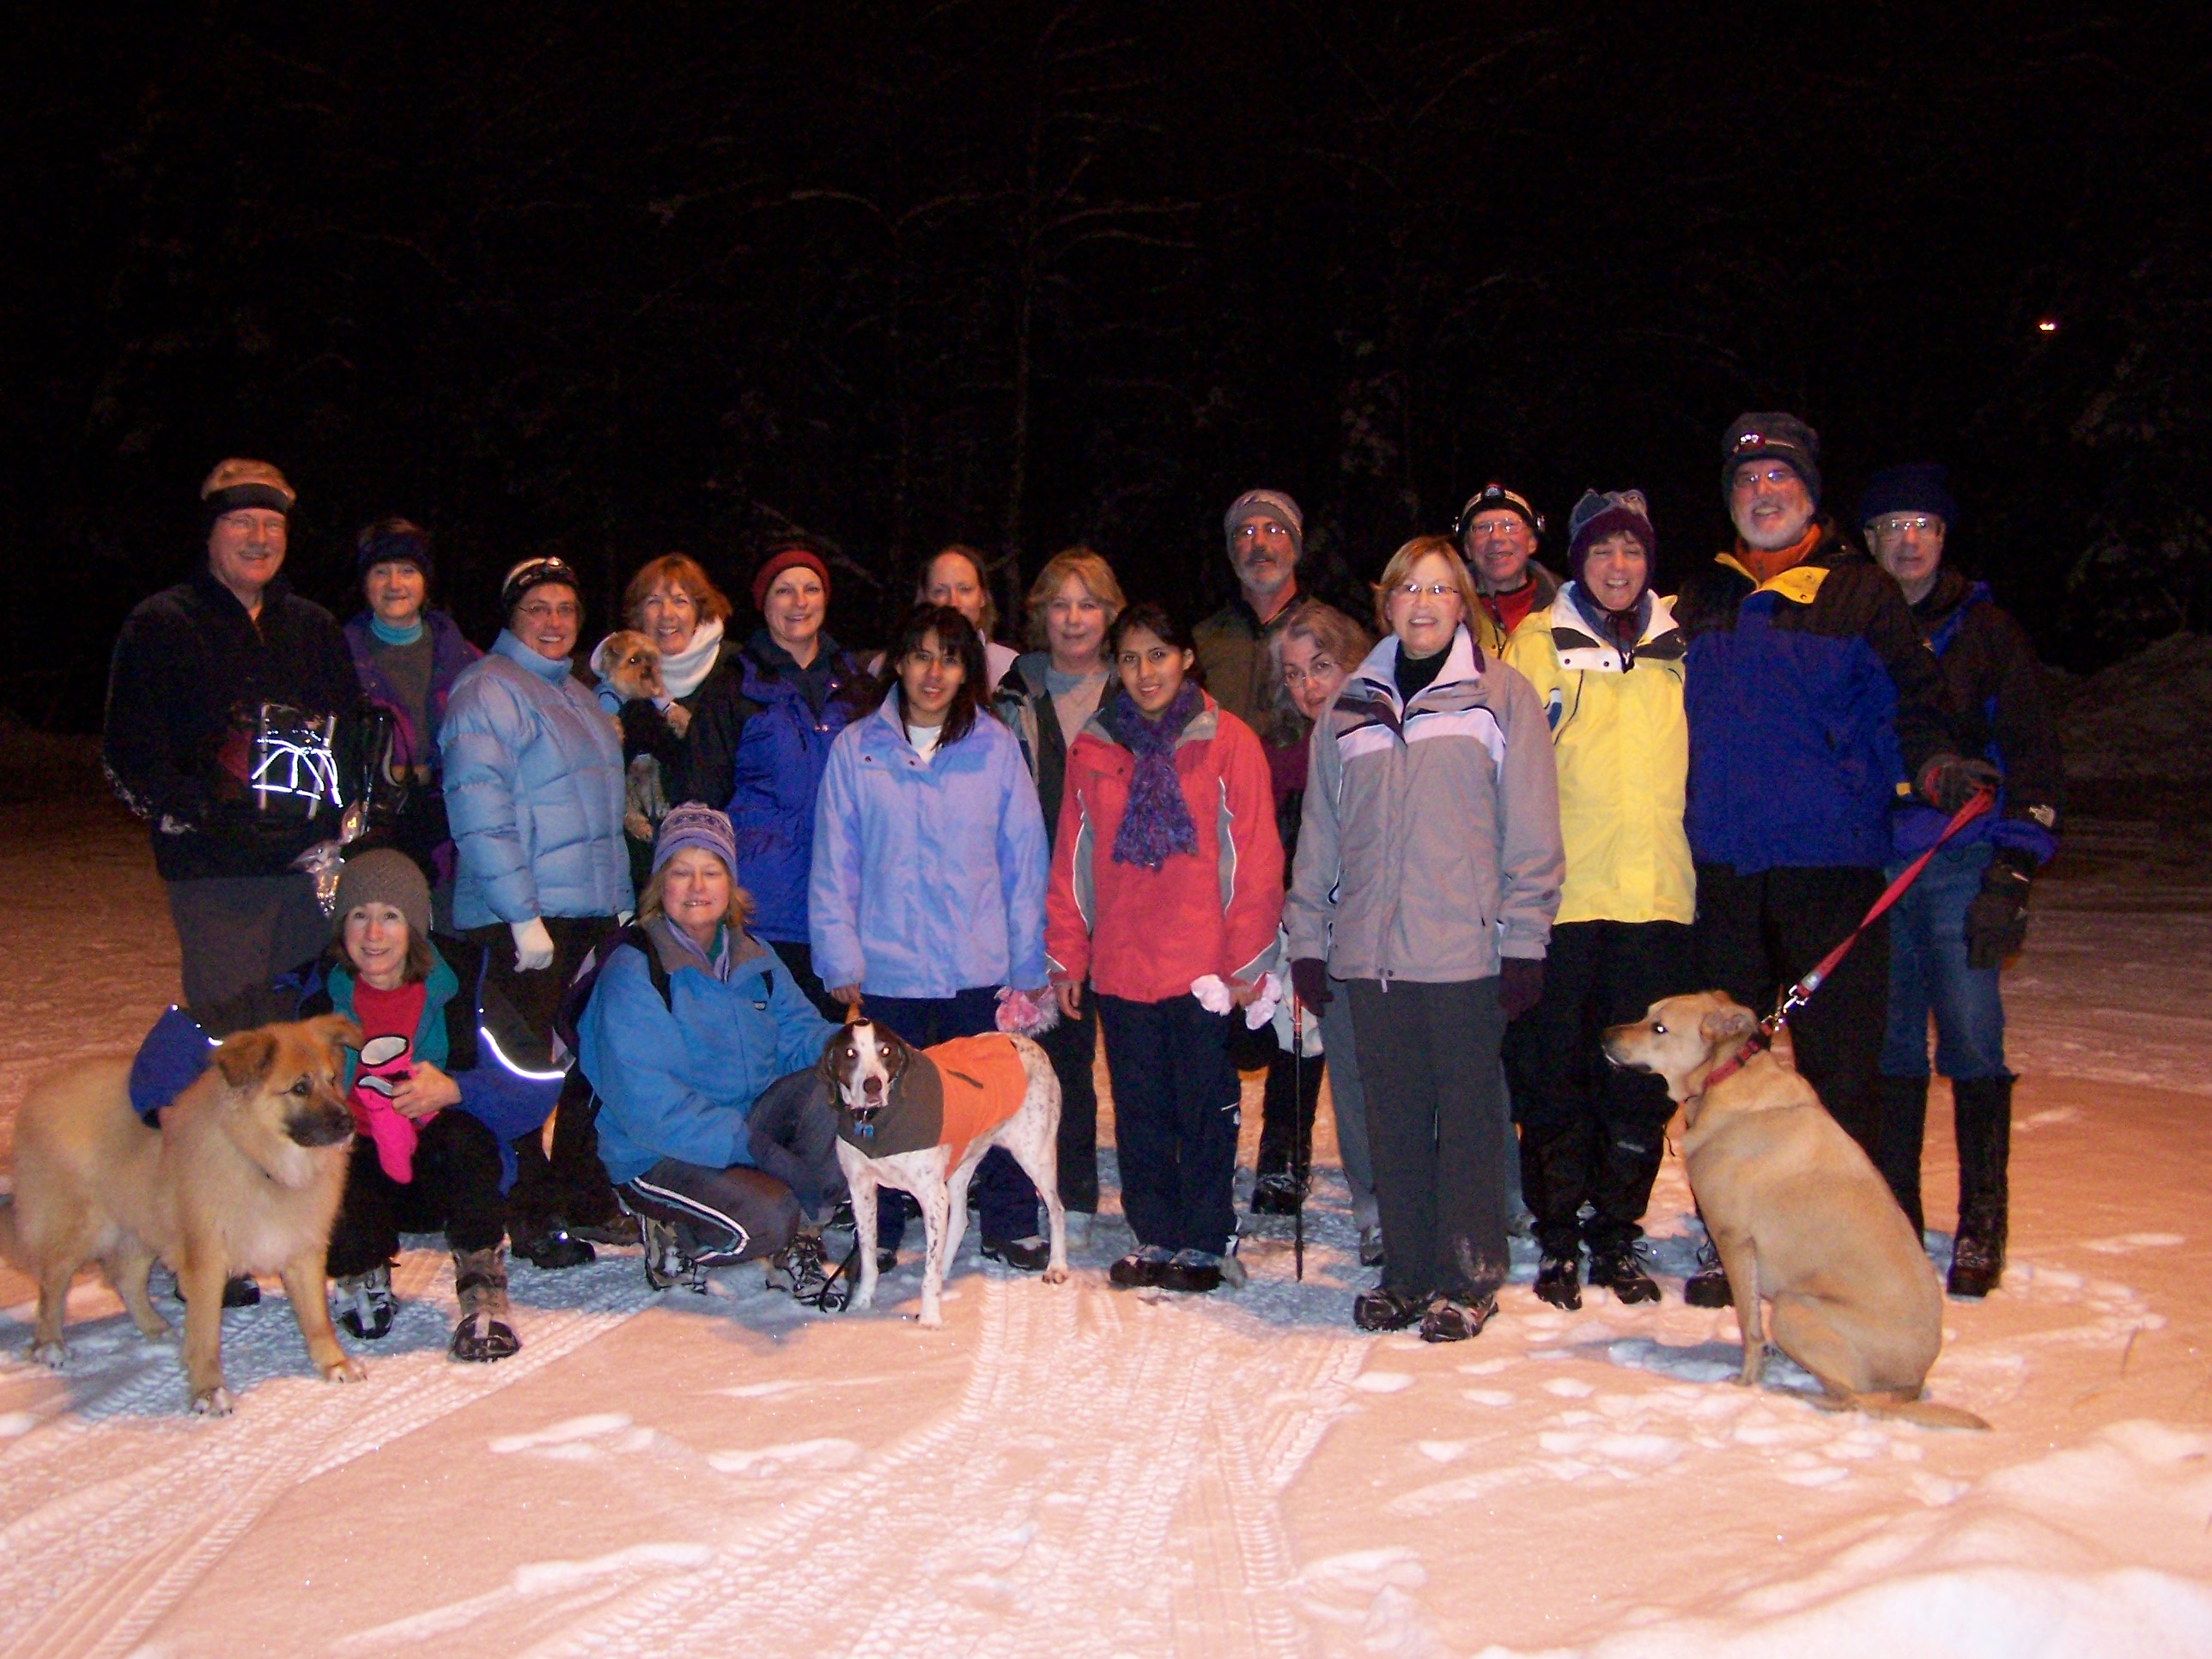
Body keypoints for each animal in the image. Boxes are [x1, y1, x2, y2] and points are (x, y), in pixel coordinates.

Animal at [0, 1015, 367, 1415]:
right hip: (80, 1228)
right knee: (52, 1287)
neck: (260, 1160)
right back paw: (50, 1346)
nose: (349, 1123)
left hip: (141, 1224)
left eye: (331, 1079)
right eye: (300, 1088)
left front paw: (335, 1364)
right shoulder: (205, 1262)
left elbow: (317, 1319)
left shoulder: (301, 1249)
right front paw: (209, 1392)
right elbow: (206, 1336)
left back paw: (155, 1329)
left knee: (126, 1279)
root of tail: (43, 1090)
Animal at [819, 1020, 1067, 1327]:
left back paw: (1057, 1266)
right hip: (962, 1162)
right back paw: (946, 1272)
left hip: (1035, 1155)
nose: (873, 1085)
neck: (875, 1122)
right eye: (850, 1053)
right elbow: (867, 1257)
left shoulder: (931, 1196)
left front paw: (929, 1318)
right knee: (959, 1220)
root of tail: (1024, 1040)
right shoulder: (861, 1189)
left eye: (885, 1051)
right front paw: (862, 1302)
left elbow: (928, 1272)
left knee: (1056, 1209)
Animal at [1603, 993, 1988, 1430]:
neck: (1725, 1075)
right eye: (1647, 1014)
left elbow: (1749, 1327)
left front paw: (1745, 1384)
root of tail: (1915, 1379)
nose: (1603, 1036)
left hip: (1791, 1309)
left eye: (1660, 1028)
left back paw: (1793, 1394)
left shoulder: (1734, 1240)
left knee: (1853, 1400)